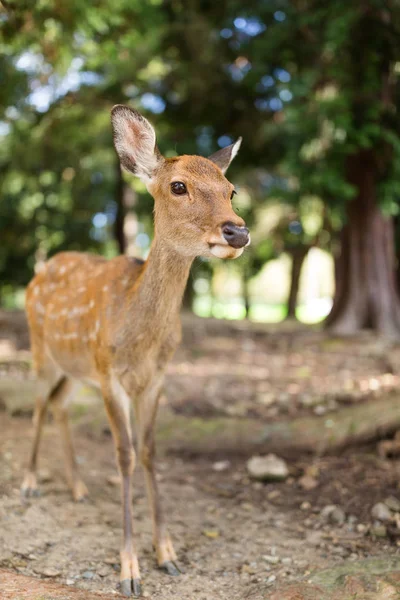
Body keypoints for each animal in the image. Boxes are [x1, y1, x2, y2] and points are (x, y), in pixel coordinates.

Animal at [21, 105, 250, 596]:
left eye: (231, 189)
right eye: (178, 186)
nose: (237, 231)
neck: (140, 341)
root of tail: (38, 272)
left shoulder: (156, 378)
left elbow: (149, 452)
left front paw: (168, 554)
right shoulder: (110, 375)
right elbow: (124, 455)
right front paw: (129, 568)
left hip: (75, 369)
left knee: (60, 406)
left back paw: (78, 488)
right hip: (41, 350)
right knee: (38, 404)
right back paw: (30, 483)